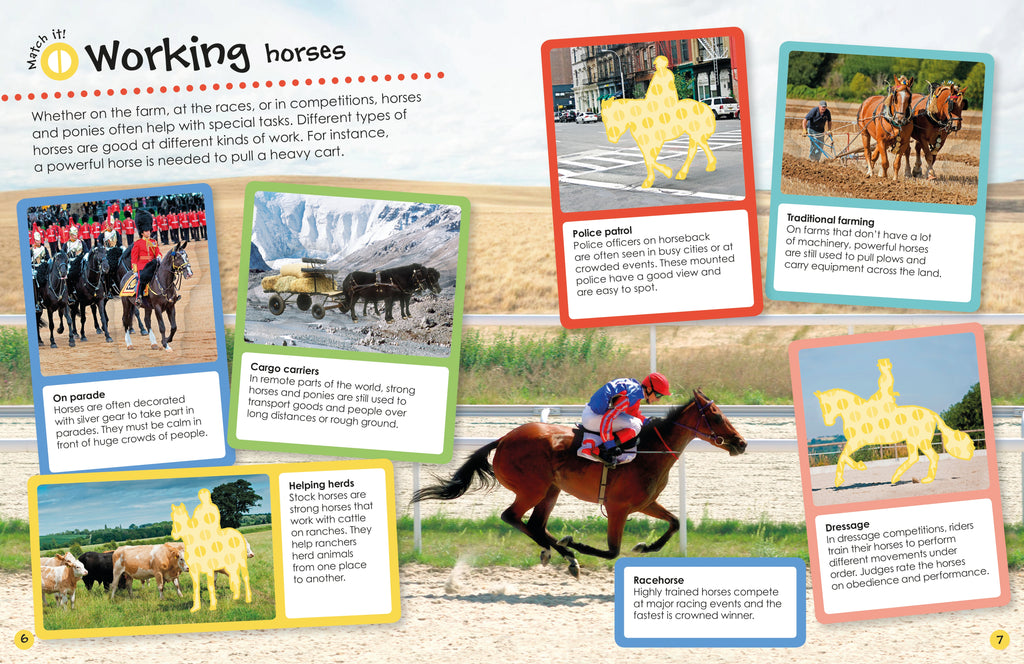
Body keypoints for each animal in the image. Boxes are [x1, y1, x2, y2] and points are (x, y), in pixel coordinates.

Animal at [412, 390, 746, 577]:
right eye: (716, 416)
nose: (741, 443)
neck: (649, 451)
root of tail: (504, 439)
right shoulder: (618, 507)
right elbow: (612, 551)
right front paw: (577, 543)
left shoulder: (646, 503)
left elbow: (675, 522)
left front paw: (645, 545)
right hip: (533, 487)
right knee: (512, 516)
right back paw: (562, 551)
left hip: (552, 489)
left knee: (535, 524)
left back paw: (563, 555)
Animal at [814, 387, 975, 487]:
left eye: (826, 405)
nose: (827, 422)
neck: (855, 413)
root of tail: (932, 413)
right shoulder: (855, 441)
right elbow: (843, 456)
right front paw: (852, 471)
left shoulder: (858, 441)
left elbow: (843, 456)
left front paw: (850, 473)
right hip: (914, 440)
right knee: (917, 457)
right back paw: (905, 478)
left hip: (918, 440)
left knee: (927, 456)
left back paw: (912, 479)